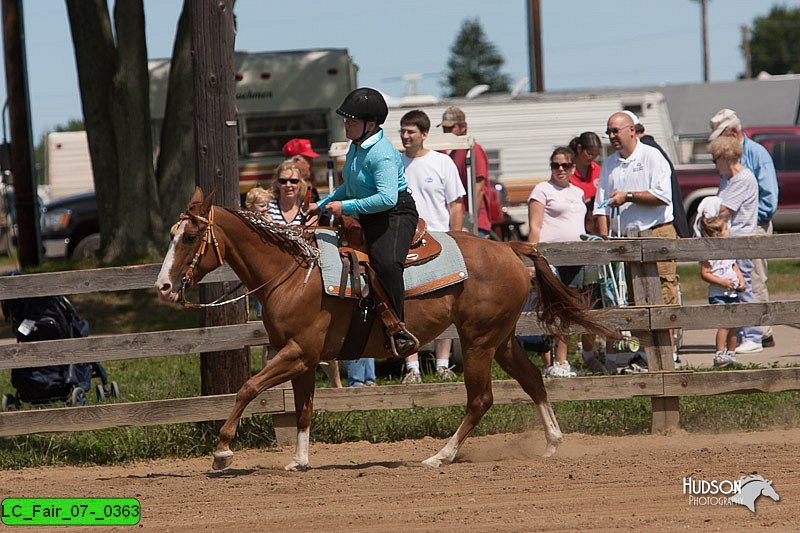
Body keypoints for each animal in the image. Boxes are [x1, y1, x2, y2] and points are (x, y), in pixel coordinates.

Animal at [156, 187, 612, 470]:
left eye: (190, 236)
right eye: (172, 234)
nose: (163, 287)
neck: (296, 272)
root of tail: (511, 247)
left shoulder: (297, 353)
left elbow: (247, 388)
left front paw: (222, 450)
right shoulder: (303, 358)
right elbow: (303, 409)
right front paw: (299, 460)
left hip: (478, 342)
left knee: (480, 399)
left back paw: (440, 456)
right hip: (500, 339)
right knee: (533, 379)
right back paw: (552, 442)